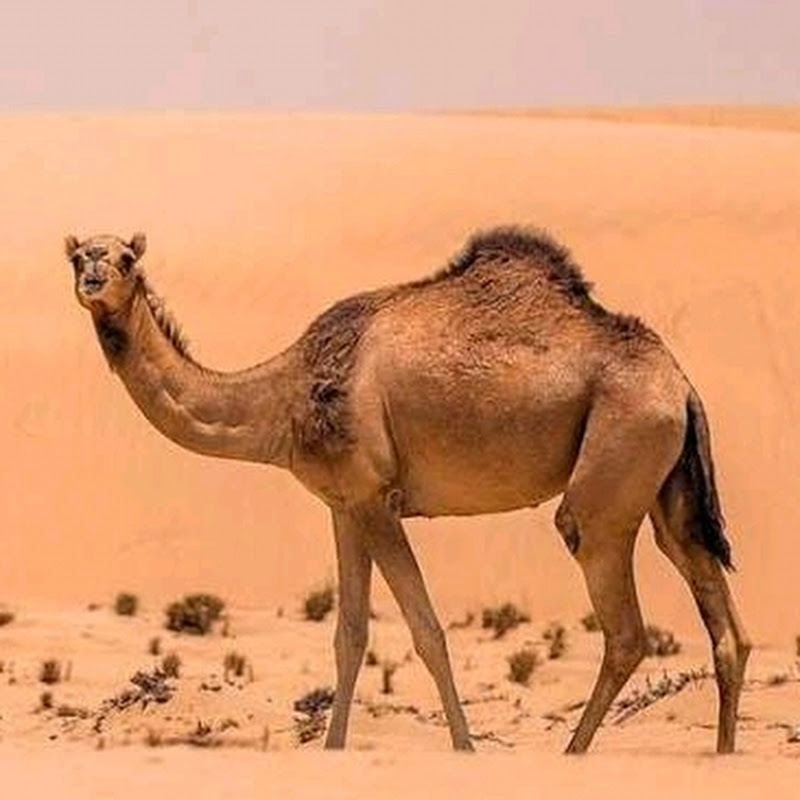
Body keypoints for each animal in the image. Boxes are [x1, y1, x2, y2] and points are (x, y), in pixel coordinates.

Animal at [66, 227, 750, 754]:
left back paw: (572, 753)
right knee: (718, 615)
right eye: (79, 257)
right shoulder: (341, 505)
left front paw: (465, 748)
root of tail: (681, 383)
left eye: (125, 259)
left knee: (622, 621)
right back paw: (721, 755)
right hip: (667, 485)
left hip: (615, 463)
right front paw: (334, 750)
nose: (94, 277)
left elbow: (426, 631)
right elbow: (349, 636)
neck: (281, 397)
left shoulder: (375, 499)